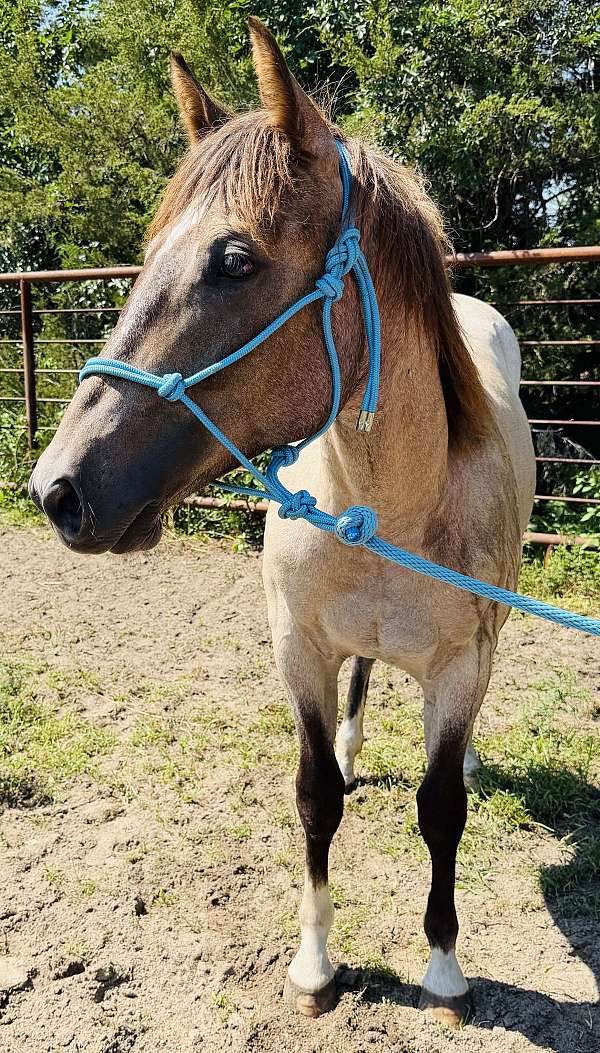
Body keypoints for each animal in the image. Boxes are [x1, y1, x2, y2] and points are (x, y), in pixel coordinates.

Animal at [29, 17, 536, 1028]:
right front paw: (314, 964)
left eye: (234, 260)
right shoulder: (299, 647)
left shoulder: (463, 664)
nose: (57, 488)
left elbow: (440, 812)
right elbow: (312, 799)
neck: (391, 501)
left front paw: (445, 968)